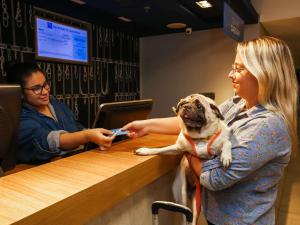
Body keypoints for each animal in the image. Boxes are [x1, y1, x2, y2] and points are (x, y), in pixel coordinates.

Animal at [136, 93, 232, 225]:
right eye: (182, 103)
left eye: (199, 106)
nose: (185, 106)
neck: (199, 137)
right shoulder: (178, 148)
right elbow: (161, 149)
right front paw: (146, 150)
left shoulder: (218, 146)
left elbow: (227, 143)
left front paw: (226, 156)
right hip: (182, 194)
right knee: (184, 216)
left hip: (197, 202)